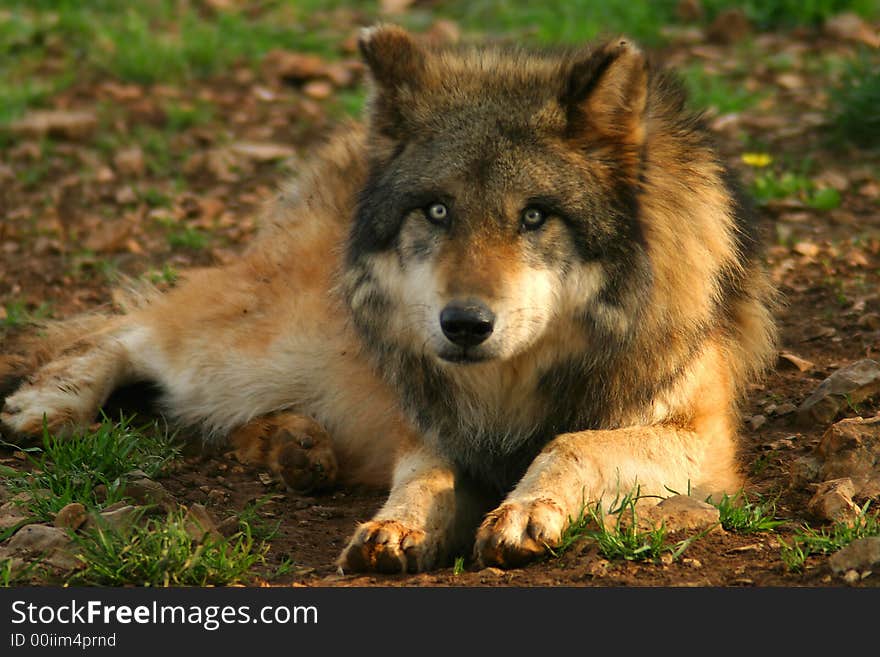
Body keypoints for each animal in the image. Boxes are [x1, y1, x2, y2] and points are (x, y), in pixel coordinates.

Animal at [0, 25, 772, 568]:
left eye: (534, 216)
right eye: (437, 211)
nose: (464, 324)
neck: (509, 388)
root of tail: (351, 140)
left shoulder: (703, 444)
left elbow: (572, 442)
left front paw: (522, 510)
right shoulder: (429, 425)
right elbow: (425, 477)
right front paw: (396, 523)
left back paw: (294, 446)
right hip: (278, 341)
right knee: (134, 327)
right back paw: (47, 404)